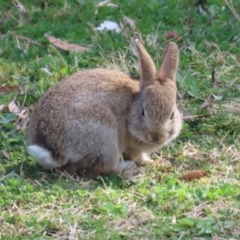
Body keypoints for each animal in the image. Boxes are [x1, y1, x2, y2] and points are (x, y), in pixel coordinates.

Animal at [27, 39, 182, 178]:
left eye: (172, 114)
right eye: (143, 112)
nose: (156, 137)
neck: (131, 106)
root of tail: (55, 148)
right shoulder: (133, 147)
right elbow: (137, 156)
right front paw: (148, 162)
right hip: (104, 137)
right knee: (103, 167)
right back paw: (126, 168)